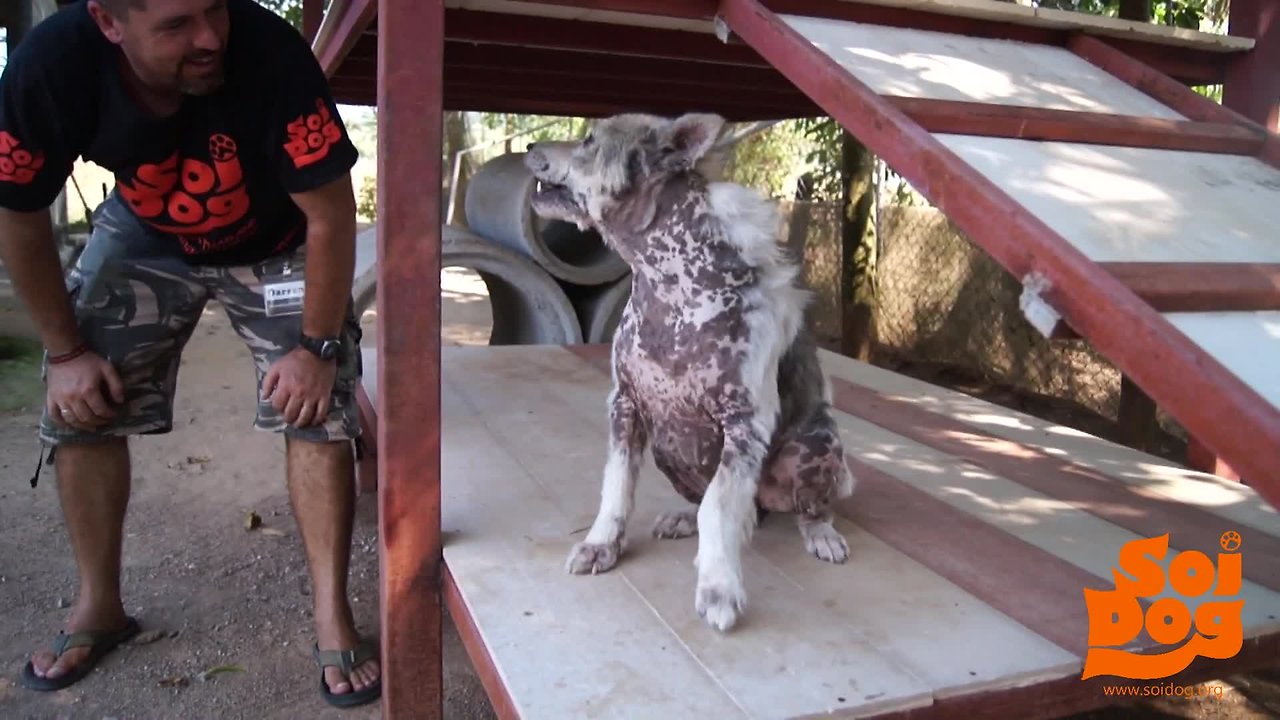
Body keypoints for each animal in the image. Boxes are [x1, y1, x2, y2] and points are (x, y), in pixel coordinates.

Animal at [524, 112, 855, 627]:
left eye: (589, 141)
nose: (528, 147)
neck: (672, 290)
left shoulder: (745, 425)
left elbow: (718, 508)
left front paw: (719, 587)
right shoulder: (624, 406)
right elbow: (616, 489)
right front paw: (602, 545)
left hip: (815, 443)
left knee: (807, 506)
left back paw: (820, 532)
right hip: (669, 448)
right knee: (730, 509)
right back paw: (682, 519)